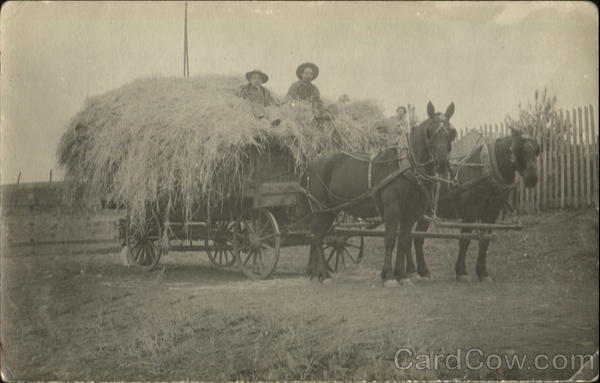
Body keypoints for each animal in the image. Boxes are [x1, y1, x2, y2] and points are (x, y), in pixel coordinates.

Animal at [298, 103, 458, 286]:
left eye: (451, 132)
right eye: (429, 131)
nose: (442, 163)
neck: (405, 166)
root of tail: (312, 163)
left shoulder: (410, 213)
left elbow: (403, 241)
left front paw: (402, 275)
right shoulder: (392, 209)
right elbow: (390, 240)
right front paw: (389, 276)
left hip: (330, 211)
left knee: (317, 236)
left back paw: (316, 272)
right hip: (322, 210)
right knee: (317, 237)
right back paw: (324, 275)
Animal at [410, 127, 540, 280]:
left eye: (536, 151)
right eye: (520, 150)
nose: (532, 178)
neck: (485, 171)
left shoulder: (490, 214)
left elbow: (484, 241)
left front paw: (483, 272)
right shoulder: (470, 213)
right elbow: (465, 239)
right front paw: (461, 271)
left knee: (415, 236)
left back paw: (418, 270)